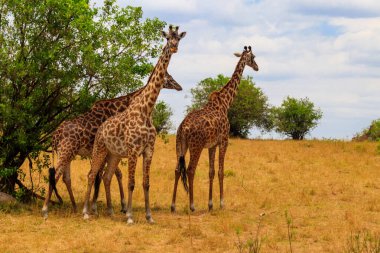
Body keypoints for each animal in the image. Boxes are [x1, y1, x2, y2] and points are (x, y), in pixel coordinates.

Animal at [42, 71, 182, 217]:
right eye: (170, 77)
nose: (179, 87)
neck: (121, 107)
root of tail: (54, 136)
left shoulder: (111, 151)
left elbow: (112, 174)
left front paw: (118, 206)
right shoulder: (106, 151)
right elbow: (101, 175)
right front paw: (97, 207)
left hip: (67, 153)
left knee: (65, 178)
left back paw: (74, 207)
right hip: (66, 151)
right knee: (56, 175)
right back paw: (46, 208)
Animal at [82, 25, 186, 223]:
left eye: (179, 39)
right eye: (168, 38)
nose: (175, 47)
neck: (147, 109)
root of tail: (100, 128)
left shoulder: (148, 150)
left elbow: (146, 183)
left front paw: (149, 216)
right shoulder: (133, 149)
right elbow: (131, 182)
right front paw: (129, 215)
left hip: (113, 154)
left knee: (106, 176)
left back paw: (109, 211)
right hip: (100, 149)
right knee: (92, 174)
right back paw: (86, 212)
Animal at [171, 46, 258, 212]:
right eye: (254, 57)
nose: (257, 67)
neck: (225, 103)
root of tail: (183, 127)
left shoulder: (212, 145)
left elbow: (211, 172)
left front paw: (210, 204)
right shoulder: (224, 141)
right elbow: (220, 171)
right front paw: (222, 203)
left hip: (180, 145)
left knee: (177, 170)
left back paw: (172, 205)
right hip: (196, 146)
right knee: (190, 170)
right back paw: (192, 205)